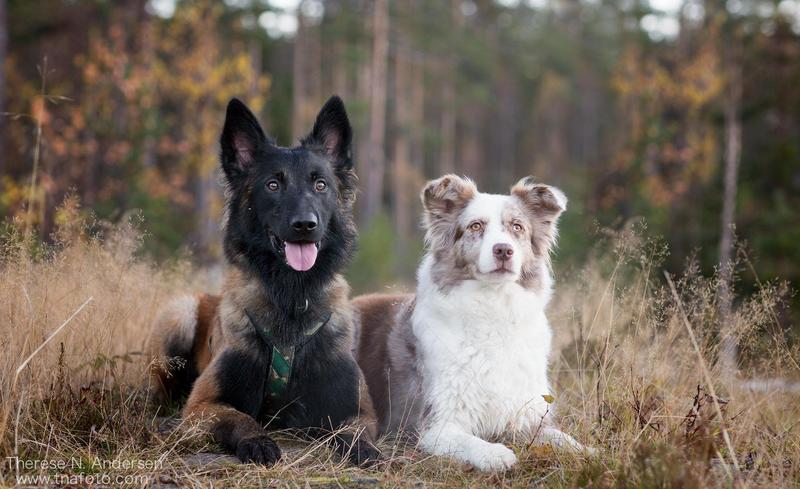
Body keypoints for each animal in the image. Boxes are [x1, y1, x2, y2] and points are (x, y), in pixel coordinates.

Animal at [151, 95, 382, 466]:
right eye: (273, 185)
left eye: (321, 184)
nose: (305, 224)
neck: (292, 297)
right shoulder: (204, 405)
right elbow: (240, 418)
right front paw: (258, 442)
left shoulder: (359, 410)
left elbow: (353, 431)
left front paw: (362, 449)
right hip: (180, 313)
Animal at [354, 174, 588, 468]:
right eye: (476, 226)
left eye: (517, 227)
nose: (503, 250)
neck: (492, 311)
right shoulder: (434, 424)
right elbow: (470, 441)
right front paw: (495, 453)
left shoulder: (526, 415)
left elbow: (560, 437)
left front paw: (587, 452)